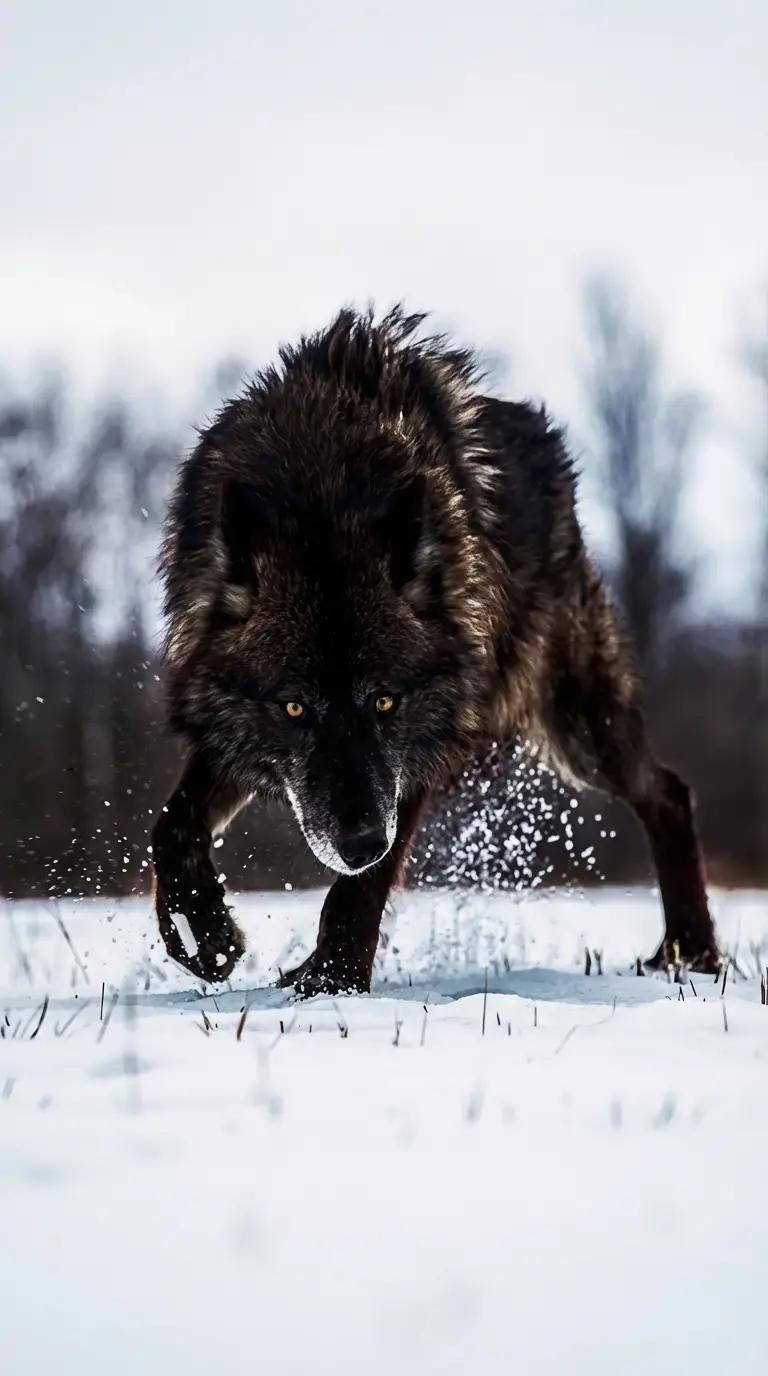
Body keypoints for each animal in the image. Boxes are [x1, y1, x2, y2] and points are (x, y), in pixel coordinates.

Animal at [151, 306, 720, 993]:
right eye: (293, 708)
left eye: (385, 703)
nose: (361, 842)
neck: (322, 482)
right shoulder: (234, 729)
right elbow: (172, 827)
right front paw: (205, 936)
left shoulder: (422, 742)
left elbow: (360, 889)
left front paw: (331, 981)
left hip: (582, 728)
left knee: (668, 793)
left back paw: (692, 951)